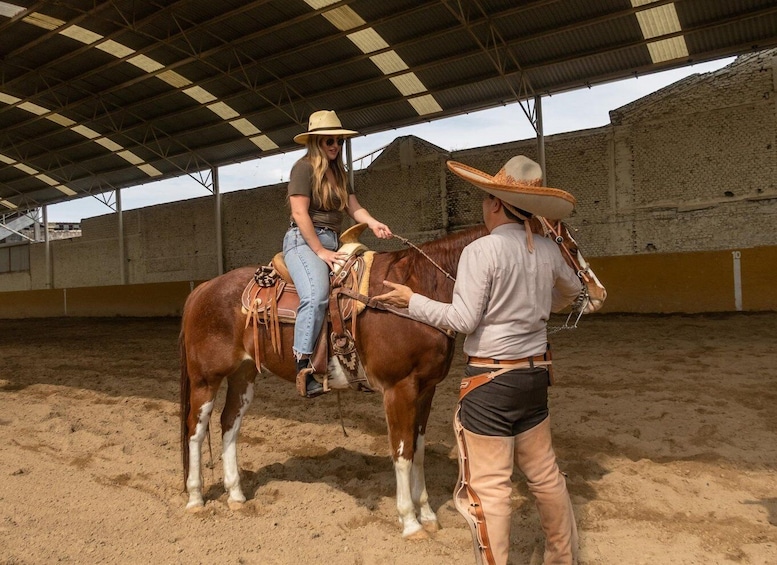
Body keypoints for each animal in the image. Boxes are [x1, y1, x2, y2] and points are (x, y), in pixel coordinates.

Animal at [179, 220, 604, 536]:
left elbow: (417, 449)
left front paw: (428, 514)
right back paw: (196, 498)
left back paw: (236, 495)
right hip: (206, 378)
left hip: (244, 374)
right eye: (565, 243)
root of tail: (202, 289)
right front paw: (410, 522)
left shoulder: (426, 389)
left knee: (229, 425)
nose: (598, 292)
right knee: (196, 430)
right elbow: (400, 452)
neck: (419, 291)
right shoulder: (398, 389)